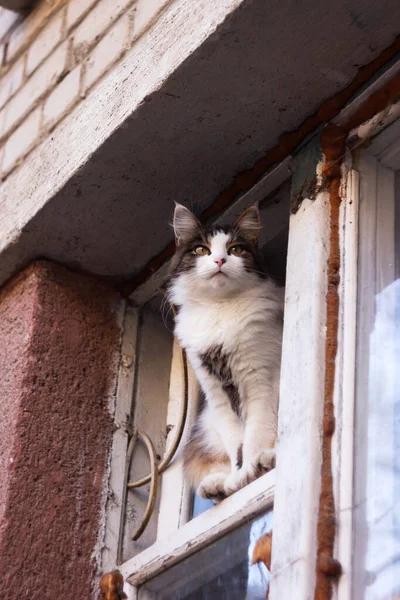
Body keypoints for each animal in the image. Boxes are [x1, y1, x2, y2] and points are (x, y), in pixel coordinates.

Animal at [166, 203, 284, 502]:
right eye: (201, 250)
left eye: (235, 249)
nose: (219, 260)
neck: (219, 308)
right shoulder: (216, 393)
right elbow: (235, 446)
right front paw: (236, 479)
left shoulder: (259, 382)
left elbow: (254, 436)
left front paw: (249, 473)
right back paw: (217, 484)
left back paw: (267, 459)